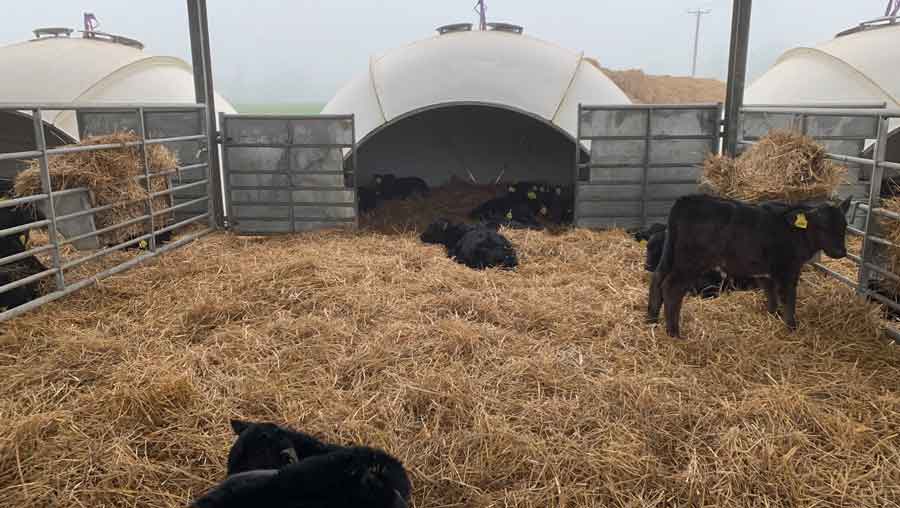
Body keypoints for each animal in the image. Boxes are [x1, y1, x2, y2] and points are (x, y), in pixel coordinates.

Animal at [648, 194, 852, 338]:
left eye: (844, 226)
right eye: (821, 226)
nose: (840, 252)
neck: (793, 230)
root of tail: (687, 200)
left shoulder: (764, 268)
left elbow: (770, 291)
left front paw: (773, 314)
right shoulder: (788, 268)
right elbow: (788, 297)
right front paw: (791, 327)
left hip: (670, 255)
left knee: (657, 278)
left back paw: (651, 320)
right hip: (691, 262)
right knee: (672, 287)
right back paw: (674, 332)